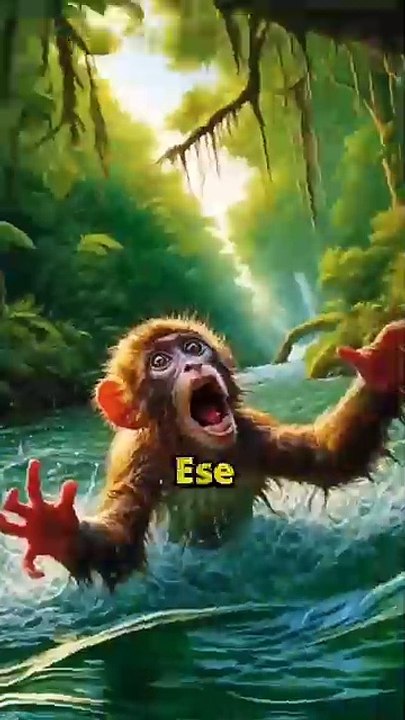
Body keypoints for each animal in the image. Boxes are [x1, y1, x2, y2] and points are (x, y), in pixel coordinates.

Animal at [0, 316, 404, 591]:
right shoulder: (142, 460)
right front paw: (53, 529)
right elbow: (120, 546)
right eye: (160, 362)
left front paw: (383, 367)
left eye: (193, 348)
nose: (194, 364)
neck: (200, 455)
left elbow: (328, 459)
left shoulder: (252, 435)